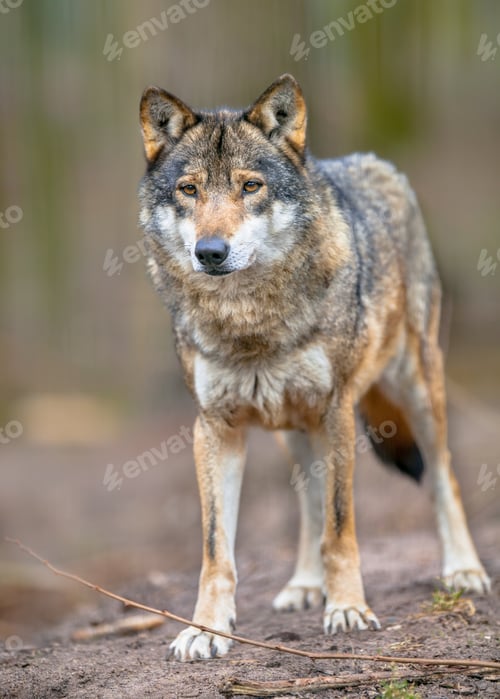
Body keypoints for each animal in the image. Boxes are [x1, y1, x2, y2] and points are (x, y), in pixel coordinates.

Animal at [138, 74, 490, 661]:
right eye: (189, 190)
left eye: (250, 187)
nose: (210, 251)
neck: (250, 321)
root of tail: (373, 162)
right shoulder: (214, 429)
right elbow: (216, 550)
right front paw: (206, 629)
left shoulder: (337, 411)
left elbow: (340, 528)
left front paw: (347, 608)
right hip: (294, 431)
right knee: (306, 502)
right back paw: (304, 585)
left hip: (417, 391)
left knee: (445, 478)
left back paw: (464, 570)